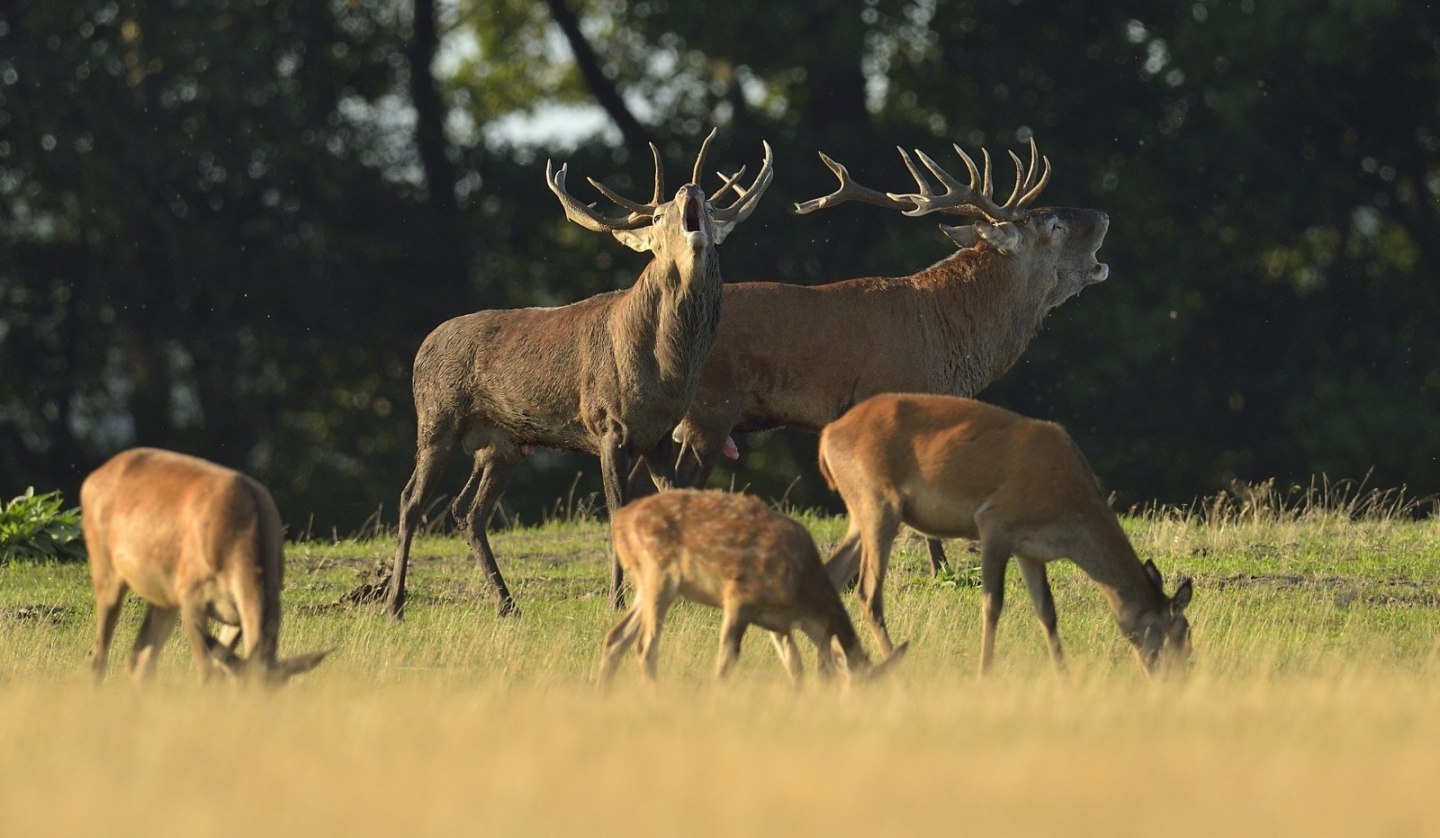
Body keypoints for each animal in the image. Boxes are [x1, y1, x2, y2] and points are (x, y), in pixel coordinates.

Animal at [83, 449, 331, 685]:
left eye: (278, 692)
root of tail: (90, 480)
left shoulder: (234, 614)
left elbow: (220, 670)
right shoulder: (190, 594)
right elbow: (207, 674)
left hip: (163, 597)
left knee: (140, 661)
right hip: (105, 567)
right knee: (100, 656)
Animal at [377, 128, 771, 622]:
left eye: (713, 207)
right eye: (658, 215)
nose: (689, 190)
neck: (667, 371)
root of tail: (421, 349)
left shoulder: (659, 436)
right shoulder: (609, 426)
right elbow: (618, 511)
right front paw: (617, 602)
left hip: (502, 444)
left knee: (468, 511)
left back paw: (507, 605)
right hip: (437, 419)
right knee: (410, 500)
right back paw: (394, 605)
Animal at [601, 489, 904, 685]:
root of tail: (620, 523)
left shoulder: (779, 624)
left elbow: (795, 667)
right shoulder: (740, 596)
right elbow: (727, 660)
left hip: (647, 582)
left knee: (616, 636)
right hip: (659, 573)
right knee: (645, 645)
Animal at [823, 391, 1192, 676]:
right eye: (1180, 635)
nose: (1175, 680)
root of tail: (827, 436)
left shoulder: (1029, 550)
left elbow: (1047, 611)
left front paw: (1064, 677)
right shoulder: (994, 523)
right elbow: (992, 603)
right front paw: (985, 672)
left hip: (860, 512)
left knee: (832, 574)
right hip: (878, 502)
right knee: (868, 593)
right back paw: (897, 669)